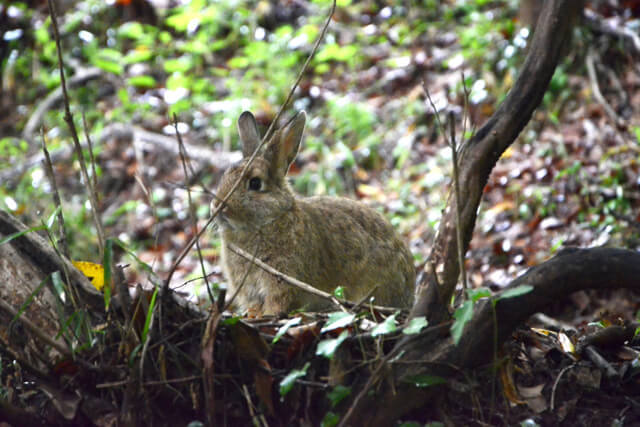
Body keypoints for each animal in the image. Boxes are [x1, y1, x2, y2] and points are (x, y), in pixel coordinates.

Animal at [214, 111, 416, 318]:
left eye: (255, 183)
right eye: (224, 177)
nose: (218, 208)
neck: (270, 220)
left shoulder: (281, 280)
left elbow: (276, 303)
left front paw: (268, 315)